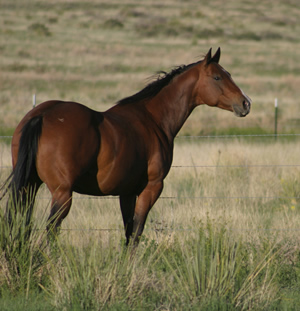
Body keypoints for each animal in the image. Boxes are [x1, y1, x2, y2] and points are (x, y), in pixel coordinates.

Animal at [2, 47, 251, 245]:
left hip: (30, 187)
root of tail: (42, 115)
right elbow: (137, 231)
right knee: (51, 230)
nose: (245, 103)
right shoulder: (151, 188)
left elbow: (128, 231)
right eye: (217, 77)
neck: (153, 118)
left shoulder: (127, 192)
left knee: (23, 224)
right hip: (62, 194)